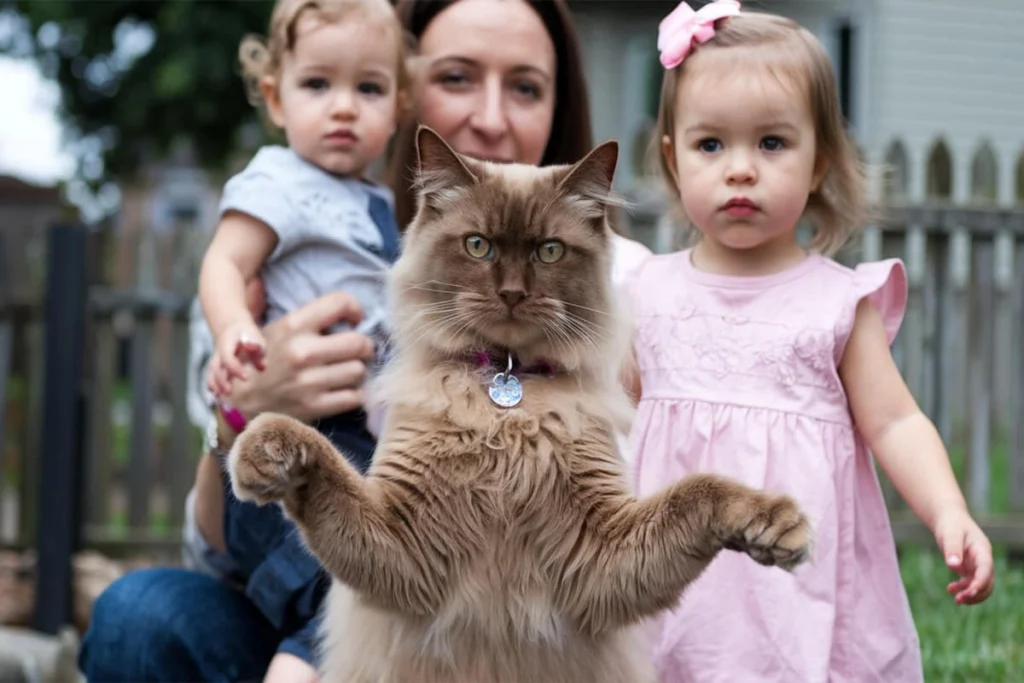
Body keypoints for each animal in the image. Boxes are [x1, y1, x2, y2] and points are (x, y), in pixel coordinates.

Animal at [228, 127, 811, 683]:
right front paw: (264, 453)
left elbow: (700, 490)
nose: (511, 293)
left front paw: (774, 524)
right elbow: (320, 459)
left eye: (548, 251)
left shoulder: (601, 558)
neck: (506, 394)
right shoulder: (401, 546)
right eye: (478, 246)